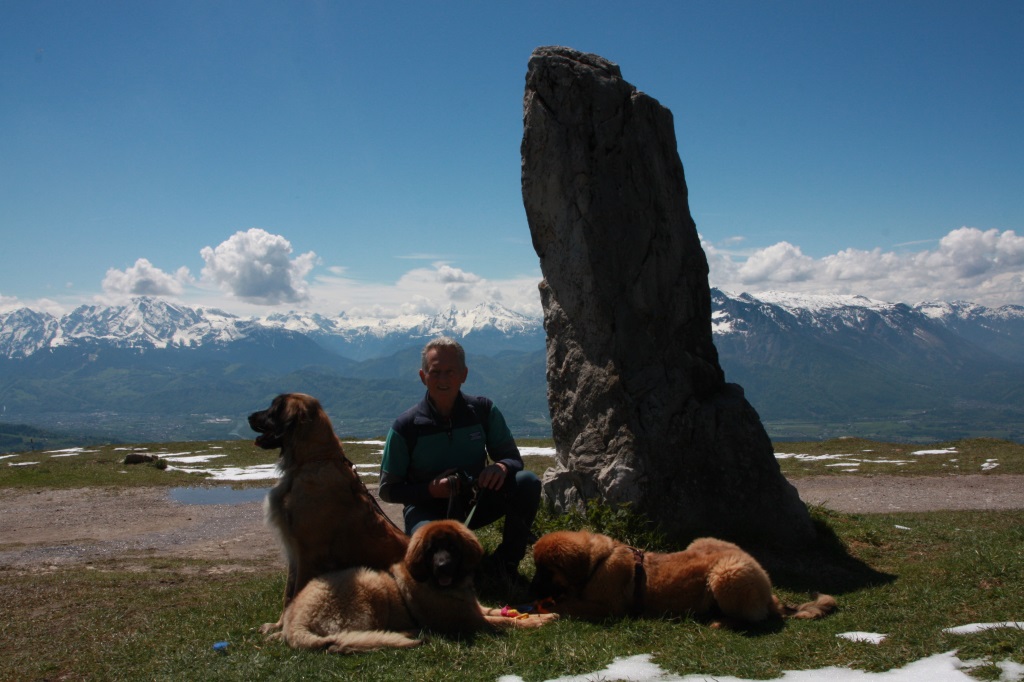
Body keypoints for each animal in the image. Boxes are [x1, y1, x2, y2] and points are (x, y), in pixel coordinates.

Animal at [247, 391, 407, 634]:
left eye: (274, 408)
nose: (249, 417)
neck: (311, 460)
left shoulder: (307, 551)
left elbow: (296, 592)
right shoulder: (294, 551)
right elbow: (287, 594)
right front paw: (278, 625)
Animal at [270, 518, 561, 651]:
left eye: (451, 548)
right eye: (431, 551)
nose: (442, 566)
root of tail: (294, 623)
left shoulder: (474, 608)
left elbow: (501, 610)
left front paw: (532, 611)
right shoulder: (469, 621)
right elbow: (507, 622)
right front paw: (540, 621)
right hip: (368, 583)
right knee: (348, 640)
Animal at [532, 532, 835, 626]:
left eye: (544, 571)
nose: (530, 590)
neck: (596, 563)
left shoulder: (609, 608)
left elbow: (571, 605)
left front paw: (549, 609)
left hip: (727, 574)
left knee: (754, 616)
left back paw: (719, 621)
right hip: (702, 543)